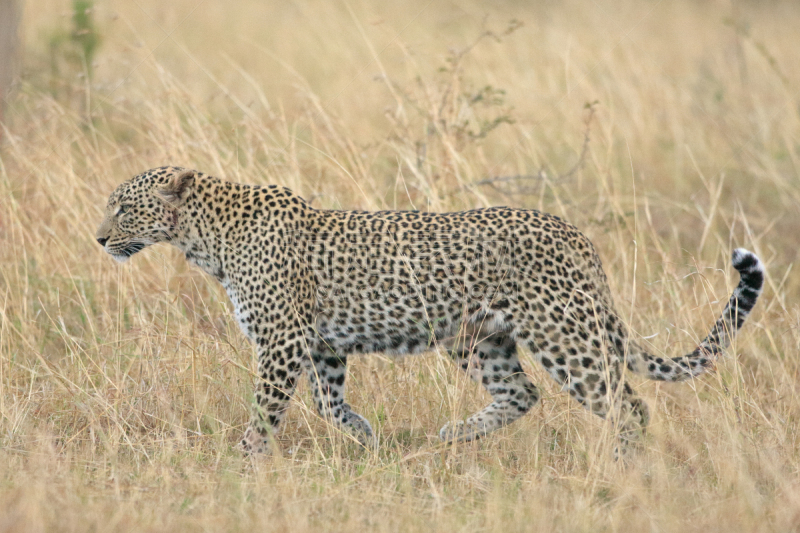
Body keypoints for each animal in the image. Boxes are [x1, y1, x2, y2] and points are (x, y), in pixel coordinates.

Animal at [94, 166, 764, 454]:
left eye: (123, 208)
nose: (99, 239)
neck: (204, 237)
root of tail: (577, 237)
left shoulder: (282, 342)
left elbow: (265, 410)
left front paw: (245, 463)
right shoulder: (321, 344)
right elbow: (327, 401)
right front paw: (365, 438)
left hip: (563, 335)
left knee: (628, 405)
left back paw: (623, 467)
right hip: (480, 339)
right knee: (522, 392)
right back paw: (453, 435)